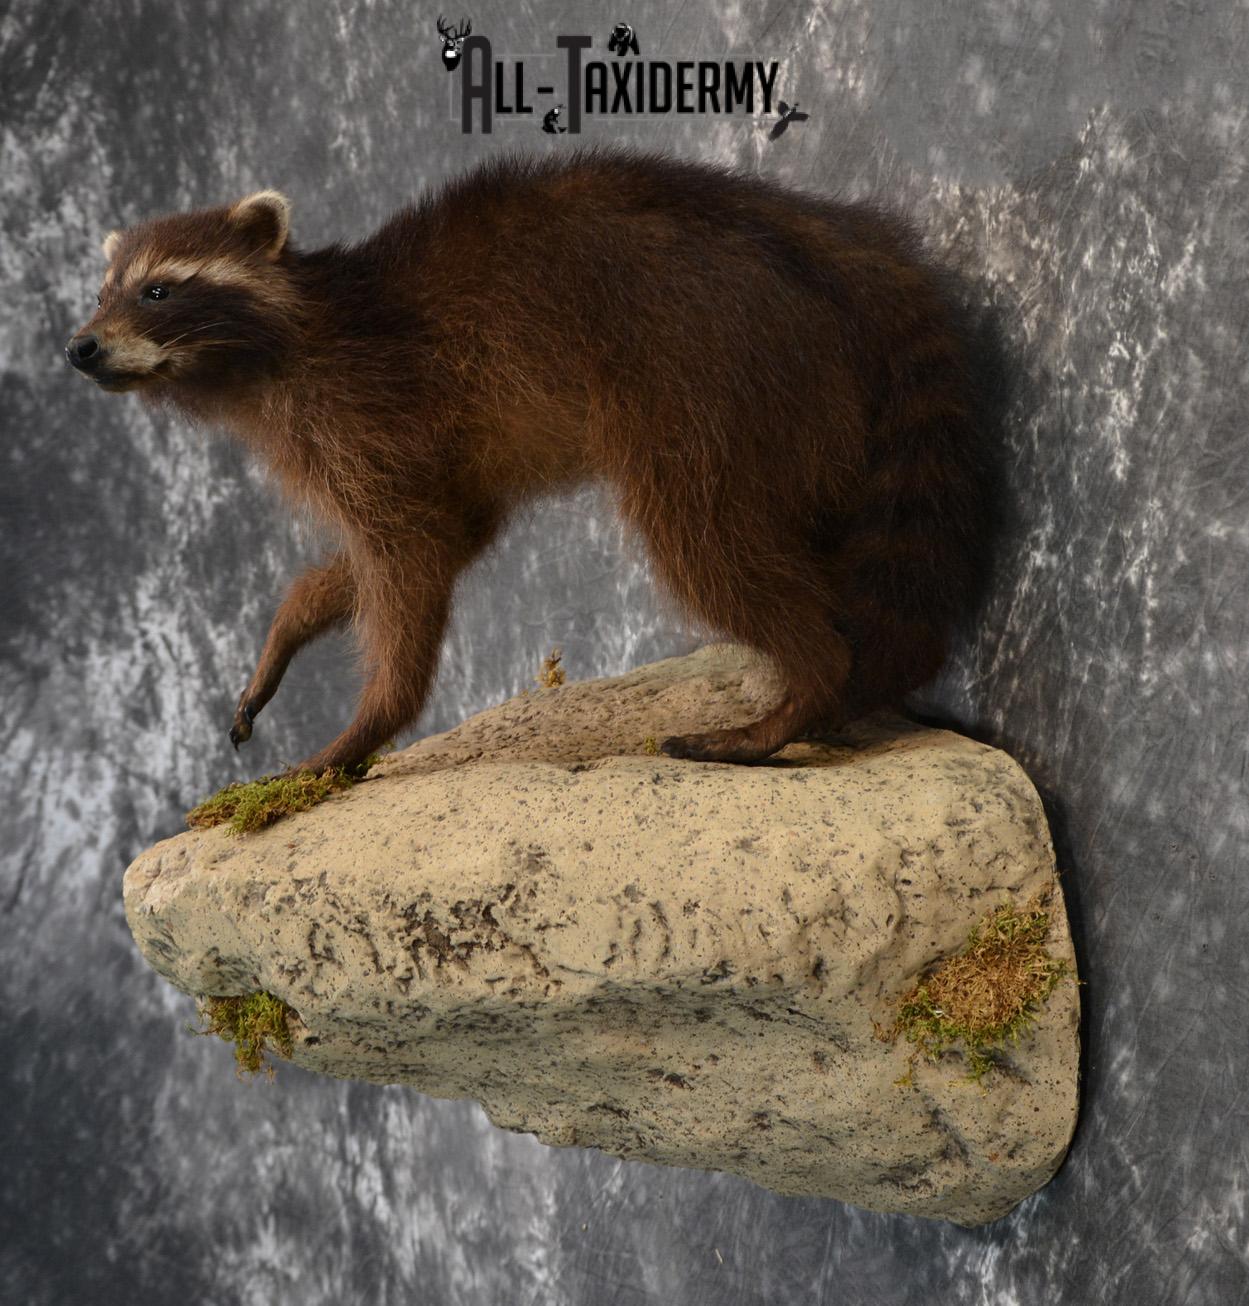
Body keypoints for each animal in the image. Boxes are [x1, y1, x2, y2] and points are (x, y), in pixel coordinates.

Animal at [66, 150, 991, 776]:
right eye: (103, 290)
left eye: (157, 291)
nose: (79, 348)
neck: (282, 342)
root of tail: (821, 249)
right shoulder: (417, 459)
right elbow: (409, 550)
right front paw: (287, 630)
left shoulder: (369, 413)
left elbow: (409, 562)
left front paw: (369, 723)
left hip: (706, 377)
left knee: (705, 537)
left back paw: (806, 684)